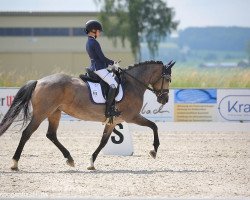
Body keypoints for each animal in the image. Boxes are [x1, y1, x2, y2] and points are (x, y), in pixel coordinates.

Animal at [0, 59, 174, 170]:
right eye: (168, 79)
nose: (164, 99)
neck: (132, 84)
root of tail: (39, 81)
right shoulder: (132, 117)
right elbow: (154, 126)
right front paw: (154, 150)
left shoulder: (113, 121)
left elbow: (103, 141)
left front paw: (91, 163)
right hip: (41, 113)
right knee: (27, 133)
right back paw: (14, 163)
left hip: (54, 112)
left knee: (51, 135)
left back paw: (70, 159)